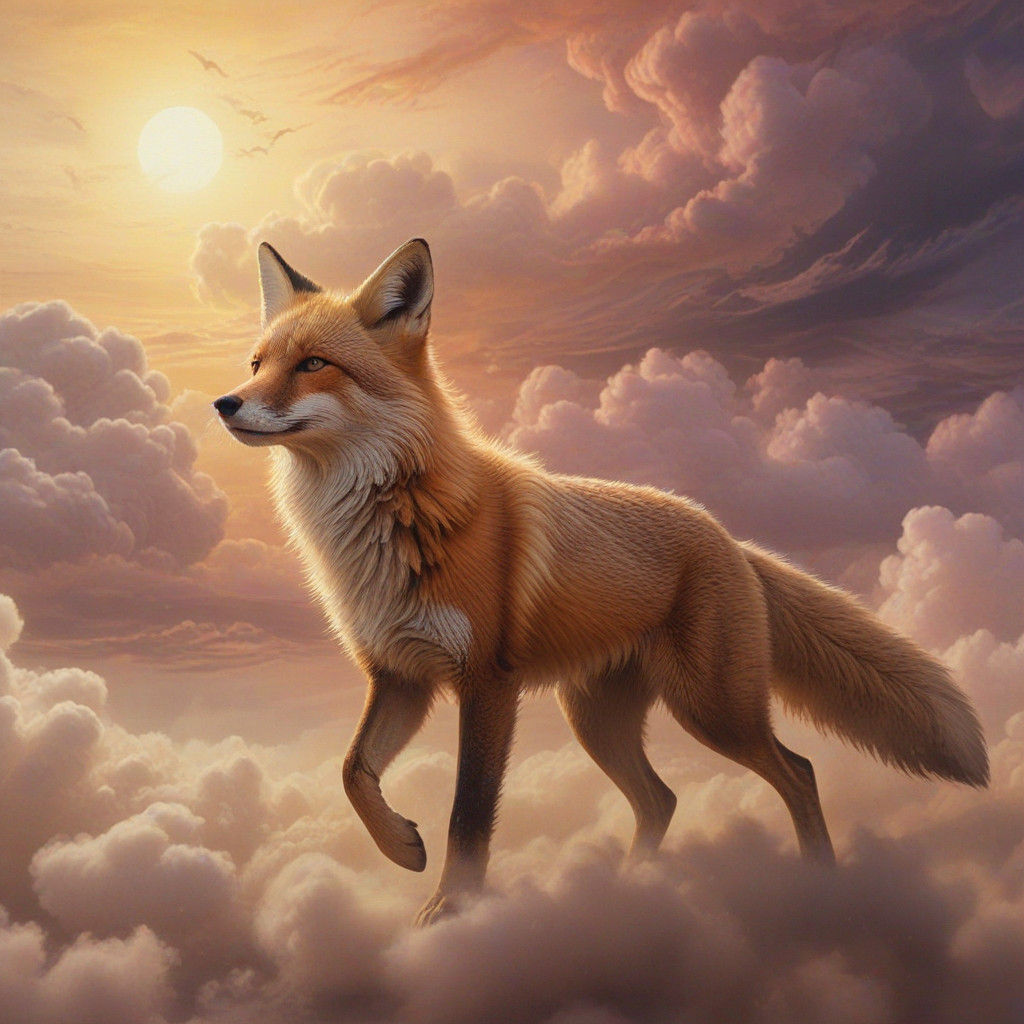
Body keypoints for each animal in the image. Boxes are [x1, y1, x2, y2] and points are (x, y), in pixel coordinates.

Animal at [214, 238, 989, 925]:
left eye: (314, 364)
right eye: (257, 363)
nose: (224, 402)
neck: (396, 516)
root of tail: (729, 538)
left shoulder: (485, 681)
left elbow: (469, 814)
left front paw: (452, 910)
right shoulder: (401, 674)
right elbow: (352, 772)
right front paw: (402, 849)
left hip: (713, 709)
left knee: (797, 770)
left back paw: (821, 885)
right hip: (596, 720)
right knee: (661, 800)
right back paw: (627, 892)